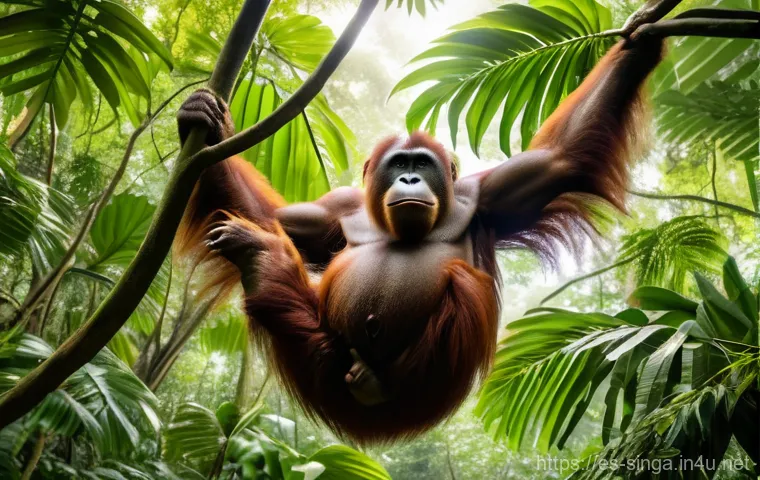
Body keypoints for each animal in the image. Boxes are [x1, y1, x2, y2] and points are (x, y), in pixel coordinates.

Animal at [175, 34, 664, 444]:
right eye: (398, 164)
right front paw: (203, 122)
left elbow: (562, 160)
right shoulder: (336, 209)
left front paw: (641, 43)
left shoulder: (492, 193)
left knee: (464, 283)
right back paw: (259, 261)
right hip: (325, 371)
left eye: (423, 165)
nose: (409, 178)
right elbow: (272, 217)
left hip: (428, 389)